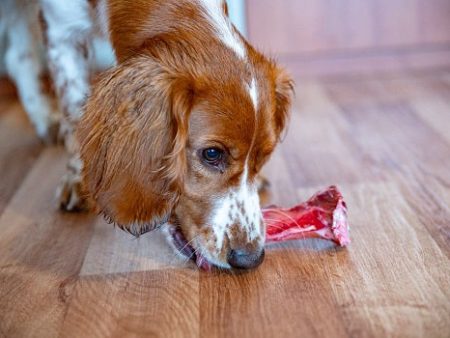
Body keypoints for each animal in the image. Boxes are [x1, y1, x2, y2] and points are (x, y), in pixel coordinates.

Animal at [0, 0, 294, 270]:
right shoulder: (60, 30)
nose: (250, 259)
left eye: (264, 158)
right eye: (212, 154)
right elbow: (73, 109)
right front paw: (77, 177)